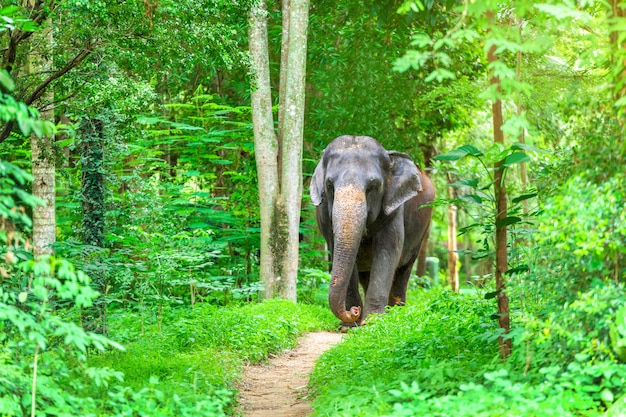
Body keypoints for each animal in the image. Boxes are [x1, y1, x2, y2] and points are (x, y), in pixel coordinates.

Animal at [308, 135, 434, 324]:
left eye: (372, 187)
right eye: (329, 185)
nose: (354, 311)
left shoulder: (394, 208)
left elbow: (387, 251)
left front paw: (373, 322)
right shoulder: (324, 215)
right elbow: (336, 249)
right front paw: (350, 326)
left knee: (403, 270)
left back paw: (396, 313)